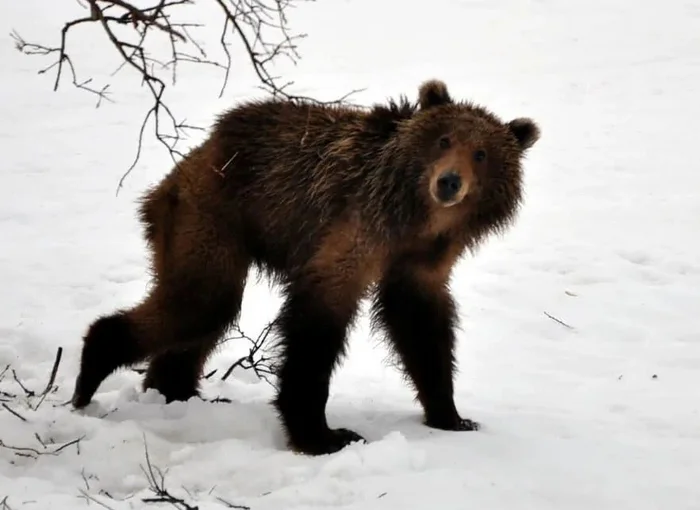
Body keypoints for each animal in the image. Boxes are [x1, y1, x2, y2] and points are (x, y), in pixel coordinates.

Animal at [71, 79, 540, 455]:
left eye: (481, 153)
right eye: (443, 140)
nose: (448, 182)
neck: (417, 218)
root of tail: (192, 157)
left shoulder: (422, 259)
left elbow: (421, 326)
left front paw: (452, 415)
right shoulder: (357, 226)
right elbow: (317, 323)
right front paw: (323, 434)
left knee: (202, 315)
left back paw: (177, 391)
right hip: (211, 214)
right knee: (202, 301)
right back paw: (91, 373)